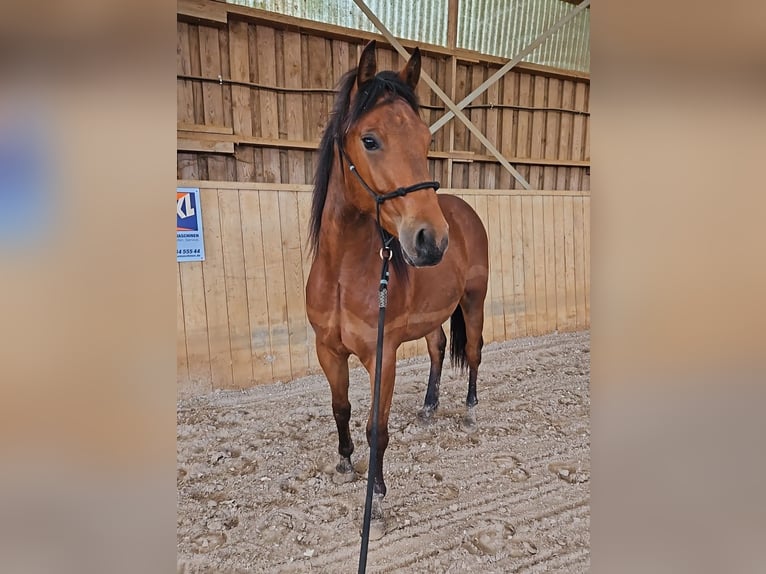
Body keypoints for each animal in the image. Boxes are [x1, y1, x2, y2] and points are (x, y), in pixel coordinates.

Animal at [308, 40, 492, 540]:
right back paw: (429, 407)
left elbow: (378, 428)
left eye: (427, 141)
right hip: (433, 314)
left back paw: (469, 411)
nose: (431, 240)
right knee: (437, 347)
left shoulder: (382, 354)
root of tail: (462, 213)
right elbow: (341, 408)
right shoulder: (327, 349)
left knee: (473, 352)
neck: (342, 273)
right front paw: (345, 463)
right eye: (369, 140)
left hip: (474, 301)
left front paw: (378, 501)